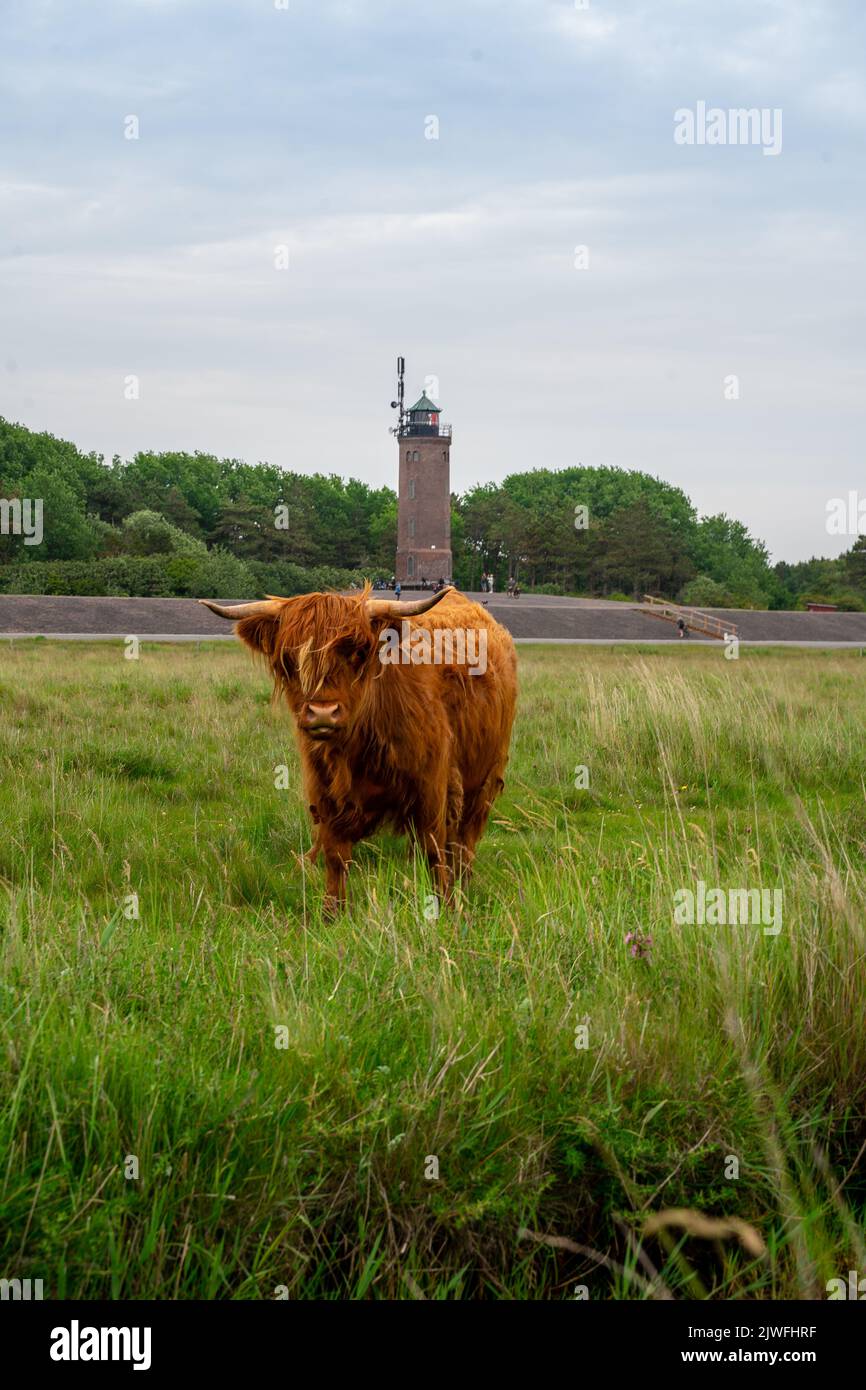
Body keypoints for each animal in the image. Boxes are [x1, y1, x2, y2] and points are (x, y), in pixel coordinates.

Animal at [199, 585, 517, 916]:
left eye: (358, 652)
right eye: (289, 659)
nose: (322, 713)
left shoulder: (433, 789)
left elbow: (434, 852)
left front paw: (444, 907)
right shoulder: (325, 793)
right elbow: (335, 857)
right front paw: (332, 913)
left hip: (485, 781)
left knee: (464, 843)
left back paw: (463, 886)